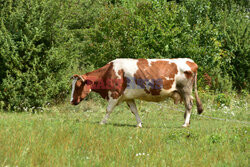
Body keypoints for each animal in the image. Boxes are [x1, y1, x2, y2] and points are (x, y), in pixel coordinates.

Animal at [69, 58, 202, 127]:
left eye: (78, 86)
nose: (71, 101)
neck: (109, 71)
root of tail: (191, 61)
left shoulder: (115, 94)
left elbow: (108, 110)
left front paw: (102, 122)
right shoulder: (128, 97)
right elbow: (134, 110)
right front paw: (139, 124)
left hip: (185, 90)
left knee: (189, 105)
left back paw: (185, 124)